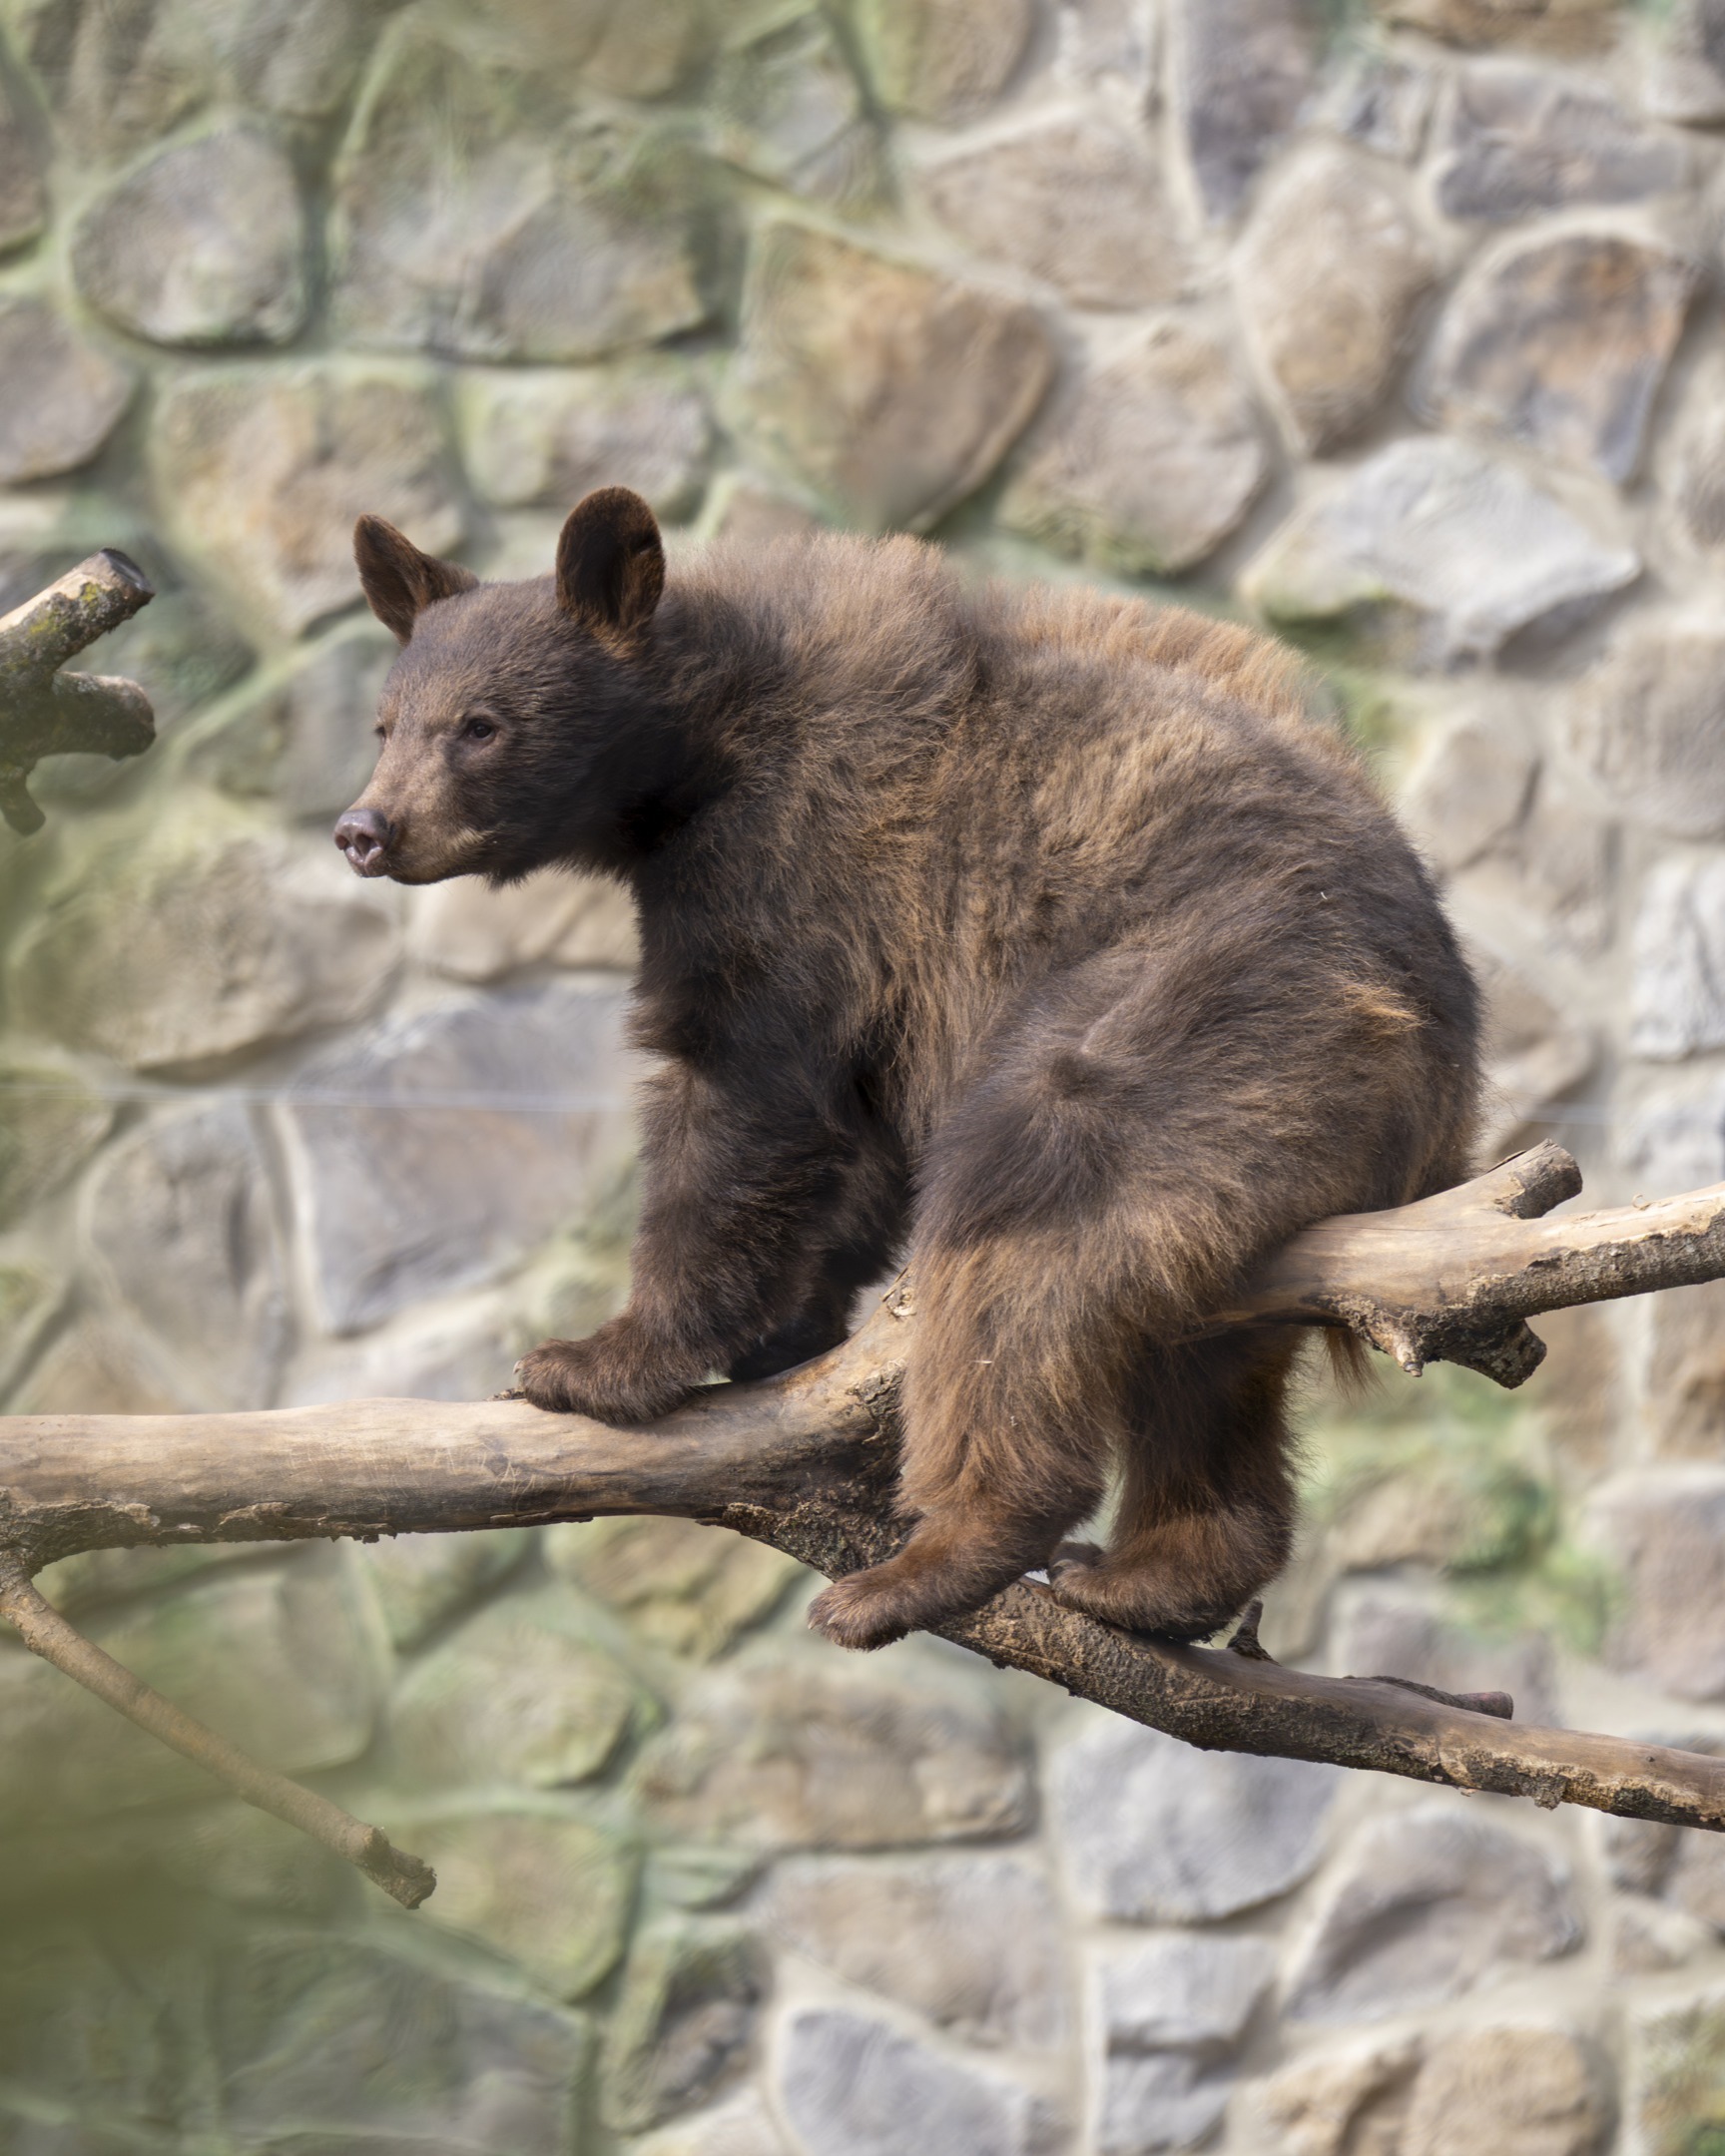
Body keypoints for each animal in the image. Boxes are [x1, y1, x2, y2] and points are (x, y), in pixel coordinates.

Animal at [336, 486, 1480, 1651]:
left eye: (479, 724)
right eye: (385, 722)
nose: (365, 828)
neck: (693, 759)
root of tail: (1444, 1074)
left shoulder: (797, 868)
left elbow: (747, 1096)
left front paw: (596, 1360)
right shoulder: (887, 985)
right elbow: (854, 1141)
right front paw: (782, 1335)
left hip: (1204, 1022)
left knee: (1025, 1226)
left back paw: (926, 1562)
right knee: (1200, 1371)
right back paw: (1154, 1572)